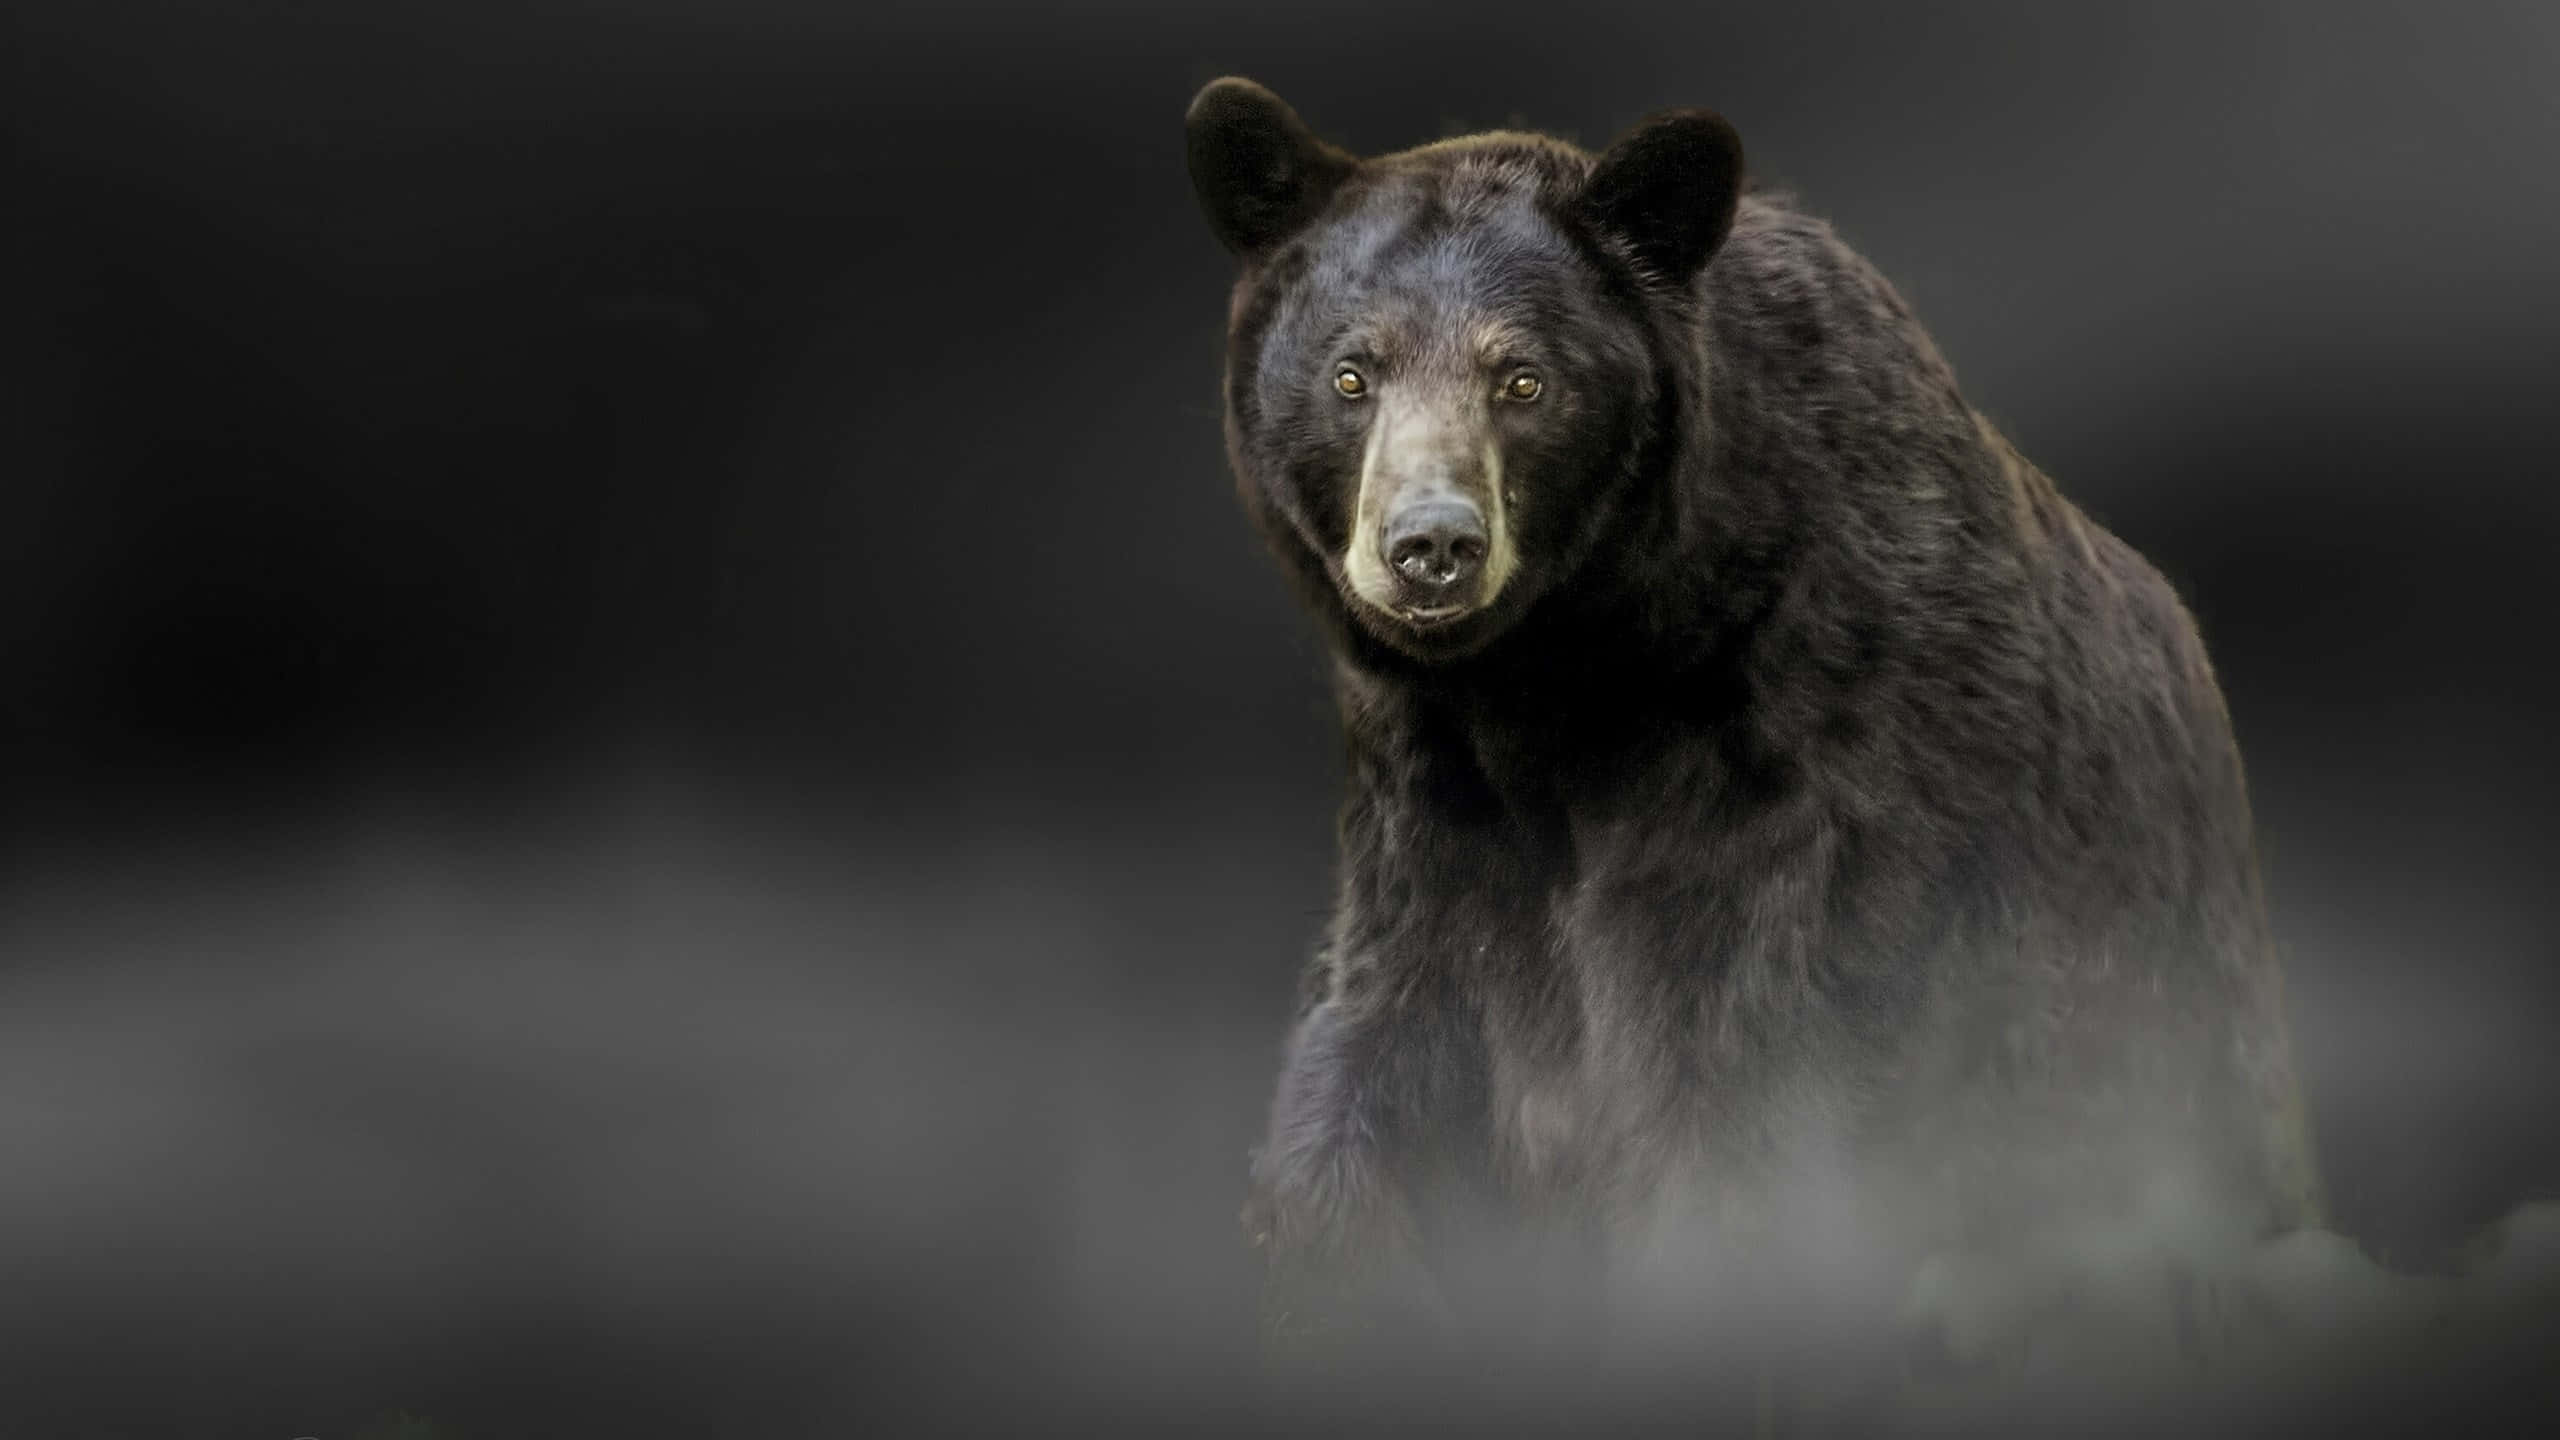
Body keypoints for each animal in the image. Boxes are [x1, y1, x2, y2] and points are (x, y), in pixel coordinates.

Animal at [1185, 77, 2323, 1399]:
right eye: (1349, 373)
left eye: (1523, 381)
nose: (1432, 544)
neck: (1568, 681)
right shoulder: (1423, 810)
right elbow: (1372, 1063)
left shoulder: (1808, 785)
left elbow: (1740, 1102)